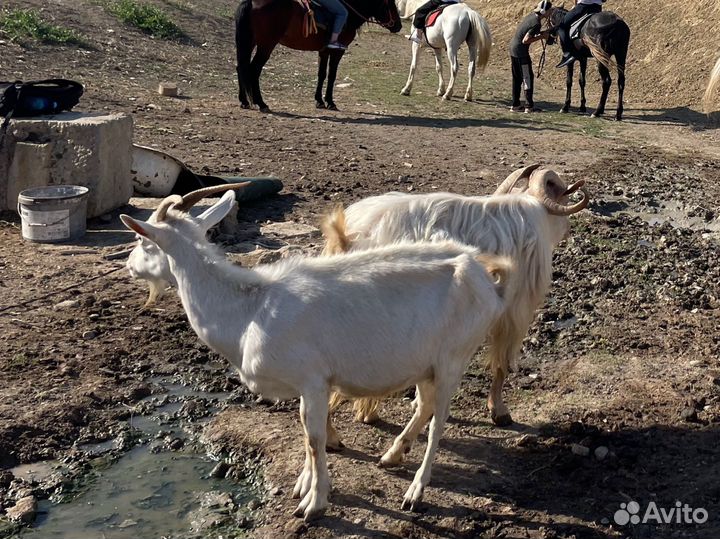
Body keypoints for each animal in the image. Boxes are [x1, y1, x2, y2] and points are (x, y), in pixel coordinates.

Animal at [120, 184, 512, 520]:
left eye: (143, 241)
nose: (128, 266)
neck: (250, 310)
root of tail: (482, 273)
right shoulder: (308, 386)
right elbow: (307, 429)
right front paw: (304, 486)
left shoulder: (313, 379)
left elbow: (314, 437)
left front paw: (314, 503)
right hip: (424, 363)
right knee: (425, 404)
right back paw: (390, 456)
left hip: (453, 358)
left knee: (438, 421)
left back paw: (414, 492)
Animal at [322, 165, 589, 435]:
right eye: (561, 191)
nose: (568, 230)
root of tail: (348, 235)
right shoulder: (513, 313)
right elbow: (501, 362)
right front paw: (499, 412)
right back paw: (360, 419)